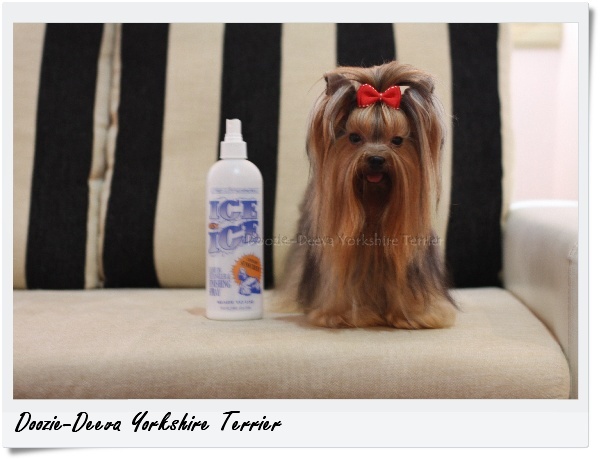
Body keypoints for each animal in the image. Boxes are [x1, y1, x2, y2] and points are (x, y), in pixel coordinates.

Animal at [283, 61, 457, 329]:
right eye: (355, 137)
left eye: (397, 140)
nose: (376, 158)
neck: (374, 206)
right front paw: (342, 314)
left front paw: (410, 315)